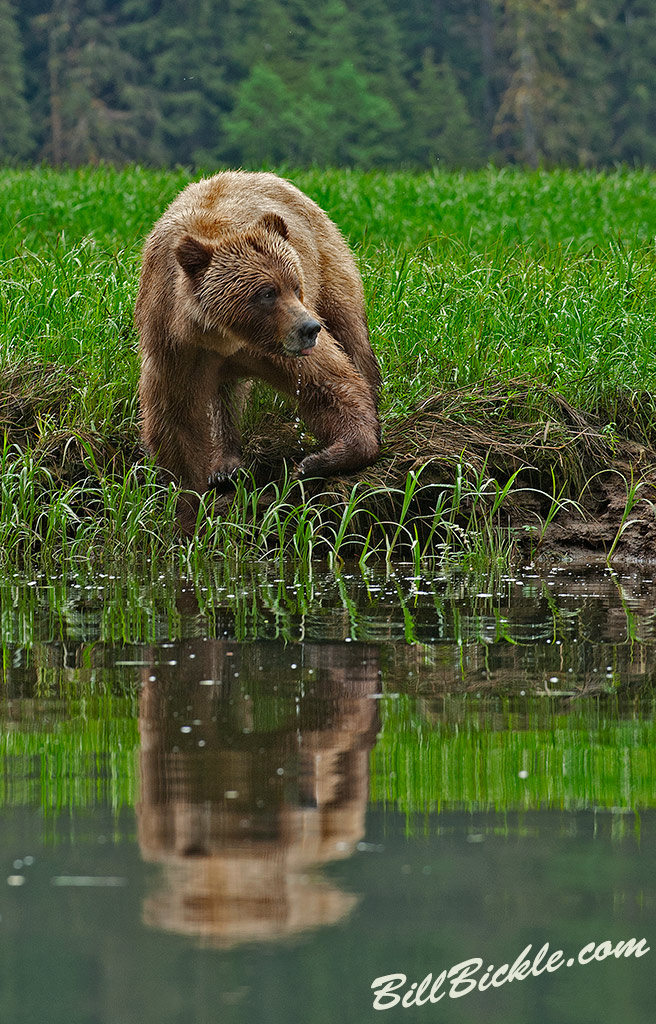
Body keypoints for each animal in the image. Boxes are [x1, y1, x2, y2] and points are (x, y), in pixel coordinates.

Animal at [135, 171, 381, 529]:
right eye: (266, 293)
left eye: (294, 285)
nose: (309, 329)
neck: (225, 335)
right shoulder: (174, 346)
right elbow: (176, 422)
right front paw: (187, 511)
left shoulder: (277, 348)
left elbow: (329, 384)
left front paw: (316, 461)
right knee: (223, 396)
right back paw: (225, 464)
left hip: (327, 258)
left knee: (349, 331)